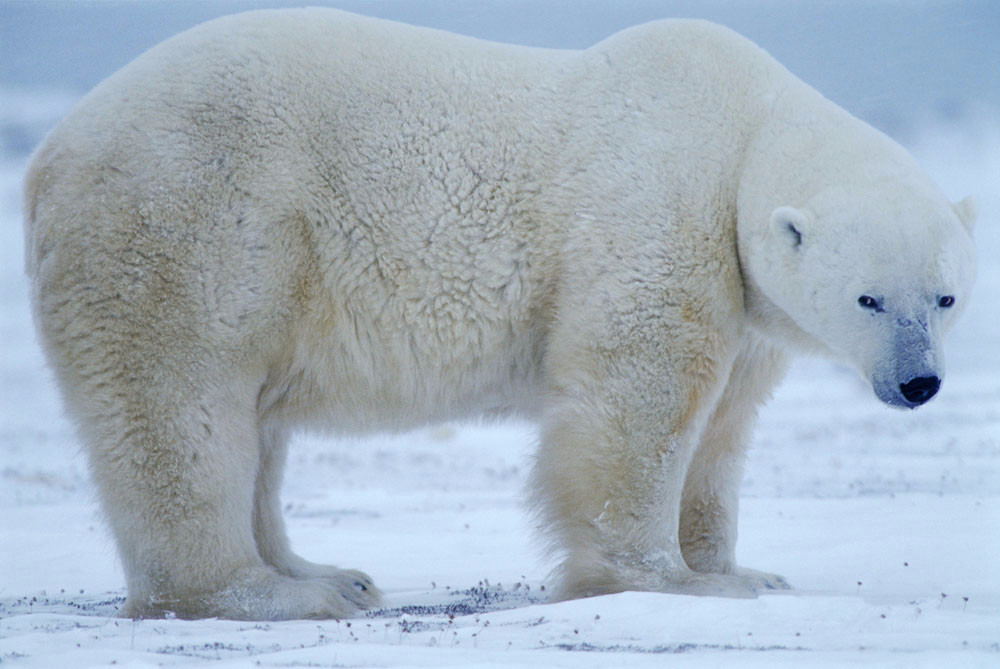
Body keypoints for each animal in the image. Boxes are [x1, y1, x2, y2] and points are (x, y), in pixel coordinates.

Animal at [25, 9, 976, 620]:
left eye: (946, 295)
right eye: (868, 296)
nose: (919, 382)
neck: (741, 131)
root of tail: (47, 154)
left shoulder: (744, 301)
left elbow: (723, 426)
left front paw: (743, 567)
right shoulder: (654, 213)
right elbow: (642, 402)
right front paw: (680, 583)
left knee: (250, 425)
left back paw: (329, 571)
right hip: (193, 225)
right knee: (183, 409)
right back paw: (278, 592)